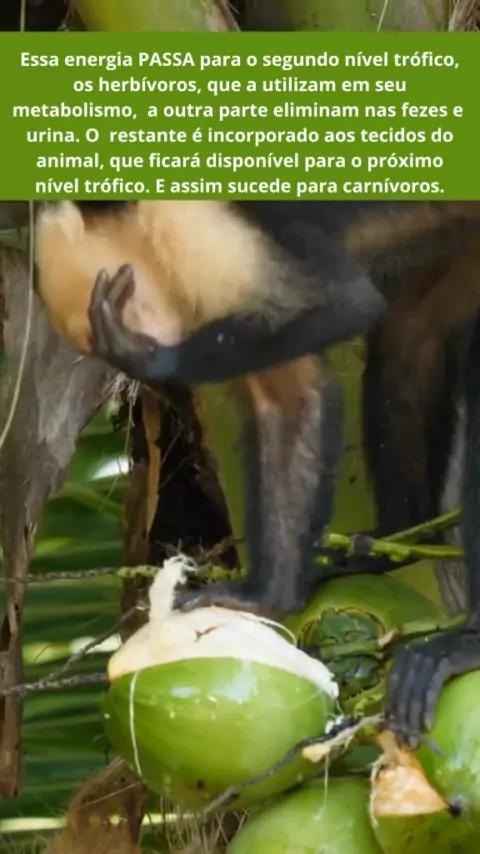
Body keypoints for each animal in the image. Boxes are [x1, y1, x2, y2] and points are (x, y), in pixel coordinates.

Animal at [34, 199, 480, 746]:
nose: (114, 361)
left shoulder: (189, 223)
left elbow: (339, 304)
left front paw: (149, 357)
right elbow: (293, 398)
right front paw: (265, 598)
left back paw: (466, 641)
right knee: (410, 330)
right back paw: (398, 538)